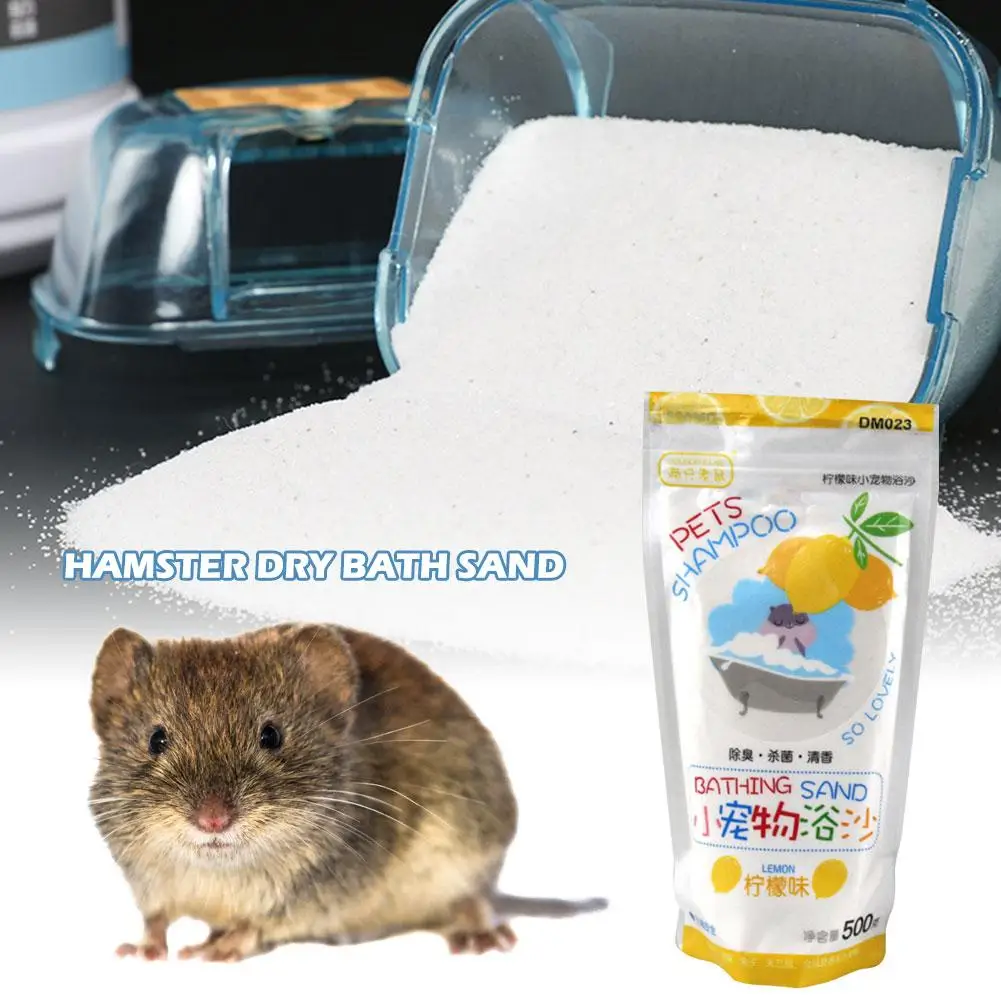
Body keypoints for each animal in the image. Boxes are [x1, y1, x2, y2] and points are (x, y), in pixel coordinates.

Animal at [88, 622, 606, 962]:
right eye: (157, 739)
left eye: (271, 736)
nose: (212, 820)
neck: (217, 872)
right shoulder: (148, 882)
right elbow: (155, 918)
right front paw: (142, 949)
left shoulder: (309, 893)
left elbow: (257, 924)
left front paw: (219, 950)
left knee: (474, 899)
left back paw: (479, 934)